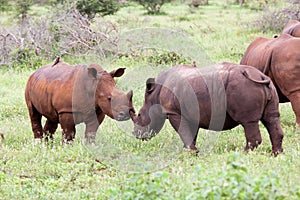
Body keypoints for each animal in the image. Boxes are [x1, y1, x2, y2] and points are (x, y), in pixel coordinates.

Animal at [131, 61, 284, 155]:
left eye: (140, 115)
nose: (136, 134)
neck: (155, 94)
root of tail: (260, 76)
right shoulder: (191, 113)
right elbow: (191, 134)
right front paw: (189, 152)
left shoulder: (174, 112)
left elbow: (183, 132)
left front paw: (193, 153)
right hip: (269, 87)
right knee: (272, 118)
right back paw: (277, 155)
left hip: (244, 87)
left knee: (248, 122)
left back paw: (243, 154)